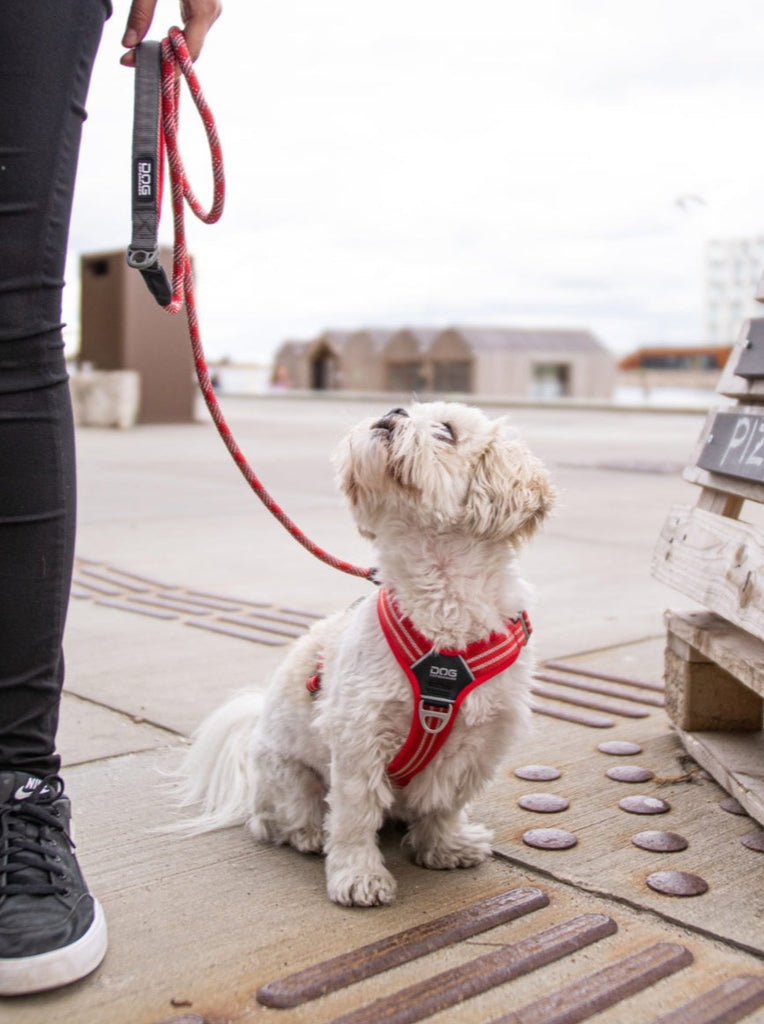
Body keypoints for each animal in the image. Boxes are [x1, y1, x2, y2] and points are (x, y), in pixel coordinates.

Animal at [173, 399, 553, 905]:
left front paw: (443, 845)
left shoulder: (481, 740)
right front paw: (358, 875)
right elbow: (354, 817)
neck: (442, 607)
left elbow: (445, 803)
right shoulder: (359, 736)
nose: (394, 411)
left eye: (446, 431)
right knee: (278, 818)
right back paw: (307, 833)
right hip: (288, 775)